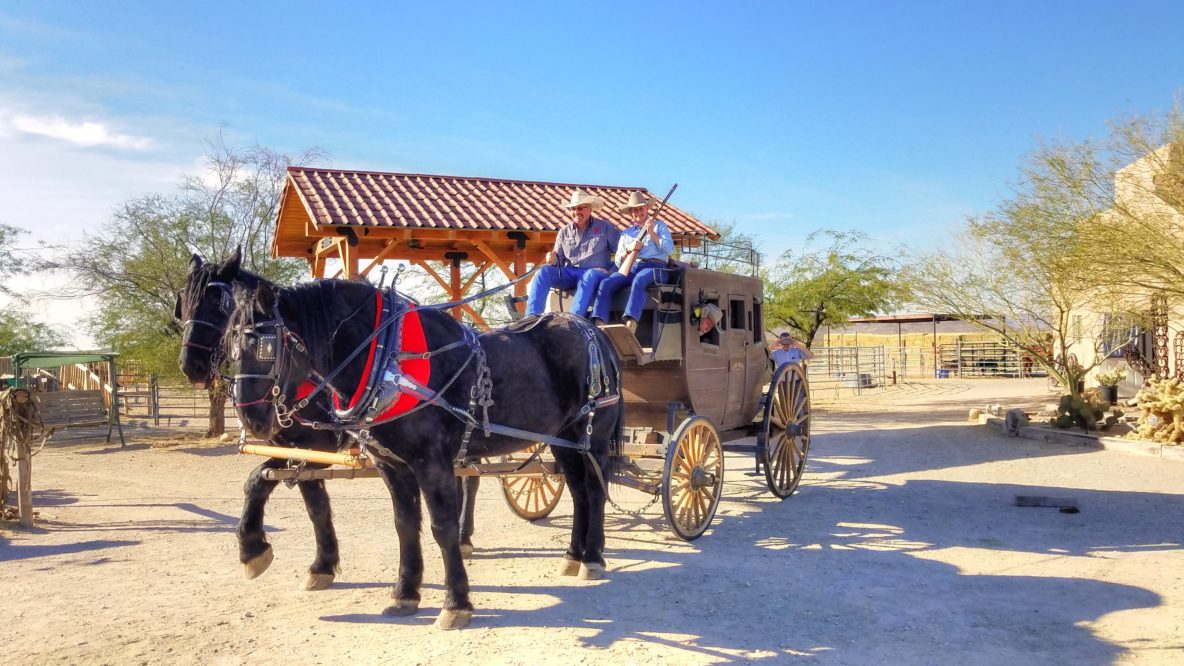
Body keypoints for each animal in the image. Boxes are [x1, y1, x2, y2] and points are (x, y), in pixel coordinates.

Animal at [176, 251, 482, 590]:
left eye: (218, 302)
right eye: (183, 302)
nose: (191, 365)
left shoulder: (317, 448)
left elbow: (305, 500)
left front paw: (297, 558)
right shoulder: (292, 450)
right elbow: (268, 485)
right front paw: (275, 552)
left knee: (471, 480)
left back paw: (463, 537)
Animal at [223, 278, 622, 629]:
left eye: (264, 346)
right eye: (229, 345)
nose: (251, 418)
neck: (387, 359)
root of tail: (592, 329)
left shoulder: (432, 463)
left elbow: (442, 528)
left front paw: (456, 603)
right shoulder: (391, 466)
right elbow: (404, 525)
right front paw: (405, 593)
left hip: (593, 438)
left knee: (594, 491)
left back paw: (592, 557)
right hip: (562, 439)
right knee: (579, 493)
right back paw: (573, 555)